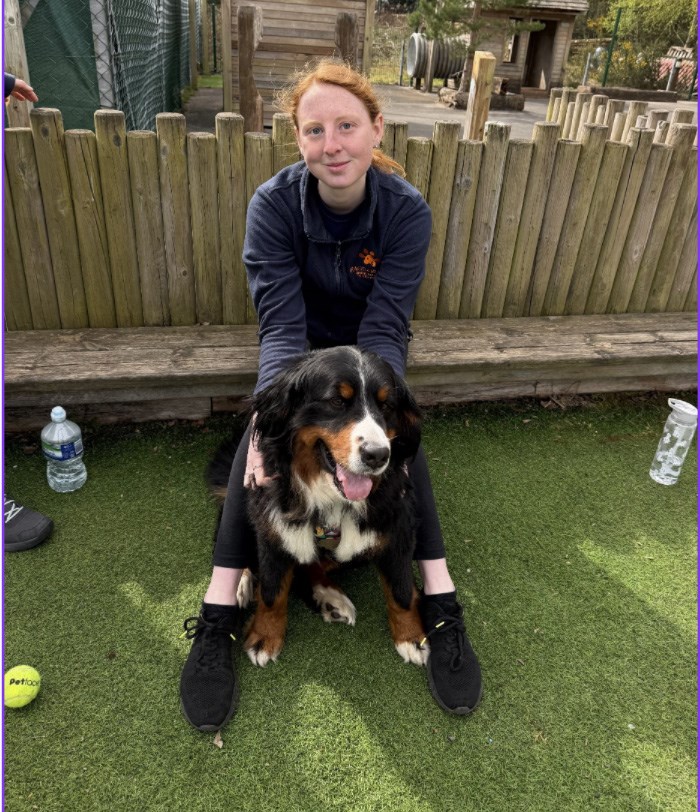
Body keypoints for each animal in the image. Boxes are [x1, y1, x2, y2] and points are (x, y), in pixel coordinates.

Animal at [207, 345, 430, 669]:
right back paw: (243, 582)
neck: (332, 496)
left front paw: (412, 638)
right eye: (337, 401)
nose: (378, 455)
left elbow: (401, 590)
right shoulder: (273, 528)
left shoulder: (397, 527)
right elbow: (272, 591)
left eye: (387, 406)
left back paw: (329, 597)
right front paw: (264, 636)